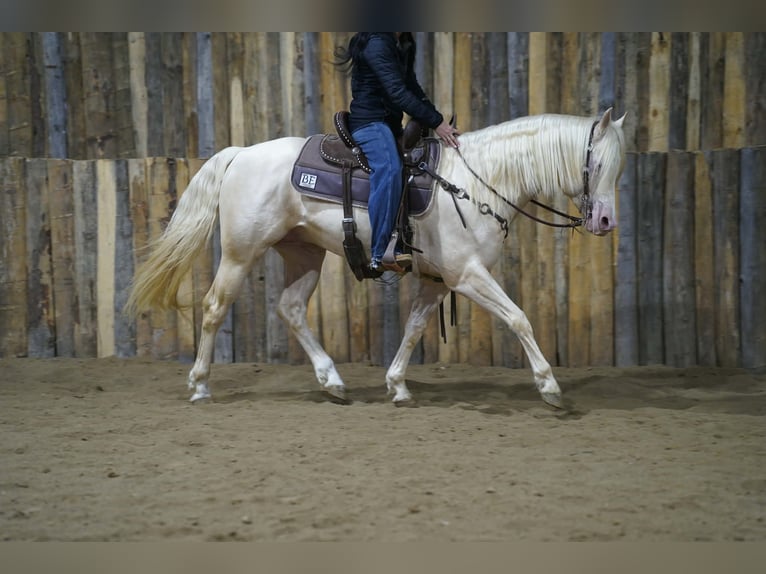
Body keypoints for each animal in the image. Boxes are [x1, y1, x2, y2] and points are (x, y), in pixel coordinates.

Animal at [125, 108, 627, 408]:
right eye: (599, 165)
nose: (605, 221)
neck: (478, 180)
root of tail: (240, 153)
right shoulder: (466, 275)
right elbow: (519, 318)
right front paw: (550, 386)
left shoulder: (438, 280)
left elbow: (414, 328)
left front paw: (397, 385)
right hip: (239, 252)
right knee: (214, 308)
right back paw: (200, 385)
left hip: (304, 253)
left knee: (290, 308)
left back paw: (332, 382)